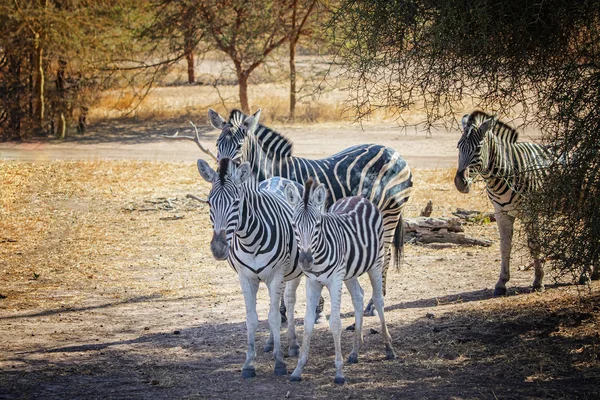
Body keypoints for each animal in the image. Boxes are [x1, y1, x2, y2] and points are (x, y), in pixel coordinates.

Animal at [197, 157, 304, 378]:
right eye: (209, 202)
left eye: (236, 203)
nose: (218, 249)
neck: (250, 240)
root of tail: (278, 177)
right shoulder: (245, 277)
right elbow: (252, 319)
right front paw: (249, 364)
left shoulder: (276, 275)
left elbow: (273, 317)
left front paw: (279, 363)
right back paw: (271, 343)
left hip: (293, 271)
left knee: (289, 302)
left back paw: (292, 345)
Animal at [207, 108, 412, 316]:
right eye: (217, 144)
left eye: (239, 146)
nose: (222, 175)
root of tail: (392, 150)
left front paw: (313, 307)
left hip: (390, 212)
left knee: (384, 256)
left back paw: (373, 304)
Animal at [284, 178, 396, 384]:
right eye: (294, 226)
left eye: (317, 226)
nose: (305, 260)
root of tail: (359, 197)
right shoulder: (312, 283)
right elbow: (308, 323)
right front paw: (298, 368)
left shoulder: (335, 280)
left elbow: (335, 323)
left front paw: (339, 372)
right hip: (350, 273)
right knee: (358, 297)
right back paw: (355, 351)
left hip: (376, 263)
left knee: (378, 300)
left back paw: (389, 348)